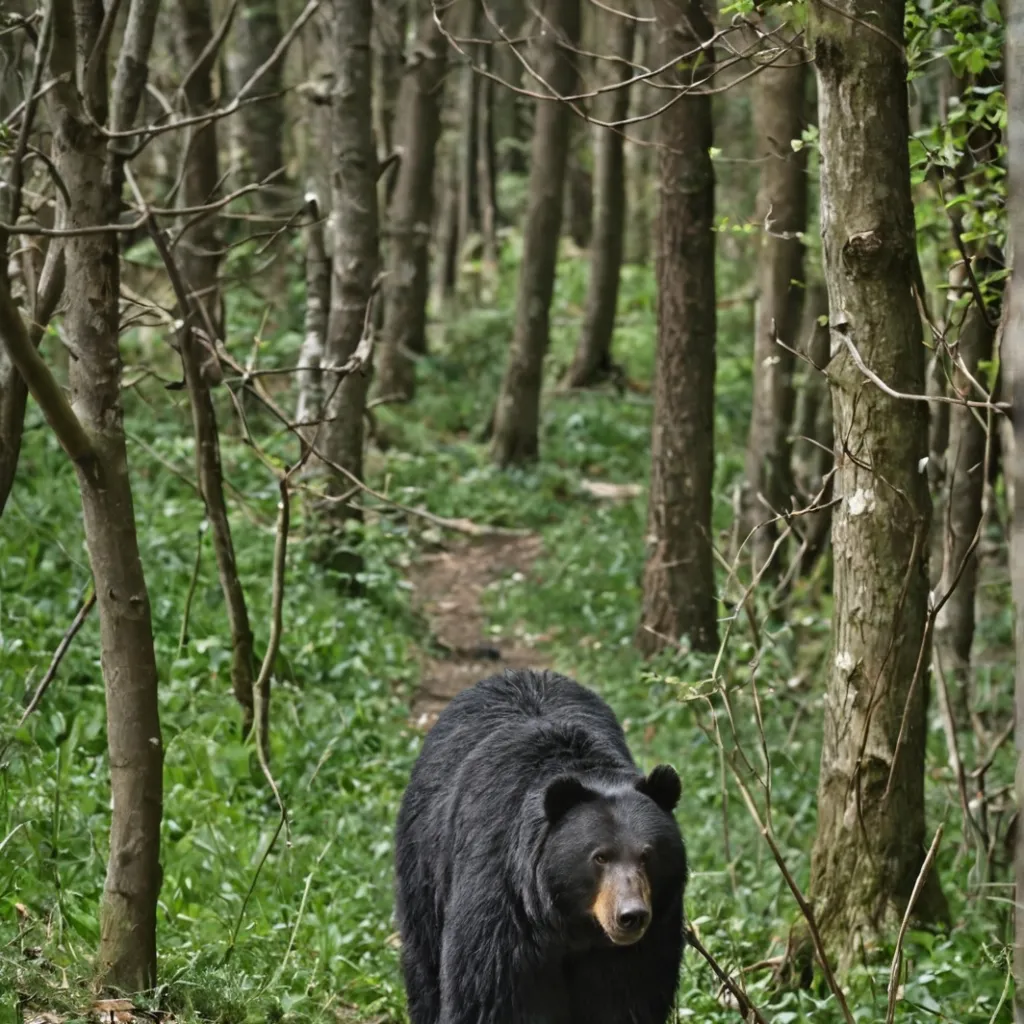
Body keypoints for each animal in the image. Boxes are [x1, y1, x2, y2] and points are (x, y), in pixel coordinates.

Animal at [394, 668, 688, 1024]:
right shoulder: (505, 907)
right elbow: (488, 996)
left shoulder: (650, 937)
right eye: (600, 857)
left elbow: (628, 999)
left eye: (648, 855)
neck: (572, 925)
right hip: (424, 865)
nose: (631, 915)